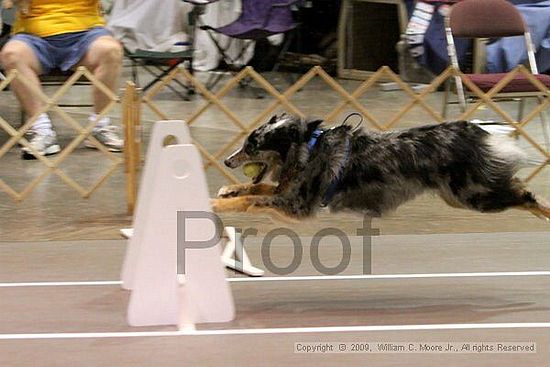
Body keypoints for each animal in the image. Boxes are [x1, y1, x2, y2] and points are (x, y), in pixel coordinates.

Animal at [212, 113, 550, 221]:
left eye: (251, 146)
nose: (227, 160)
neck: (307, 148)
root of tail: (471, 129)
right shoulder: (288, 191)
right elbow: (255, 187)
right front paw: (227, 190)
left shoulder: (297, 205)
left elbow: (253, 198)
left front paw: (217, 204)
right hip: (459, 195)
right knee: (518, 188)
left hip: (472, 196)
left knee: (524, 193)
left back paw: (545, 212)